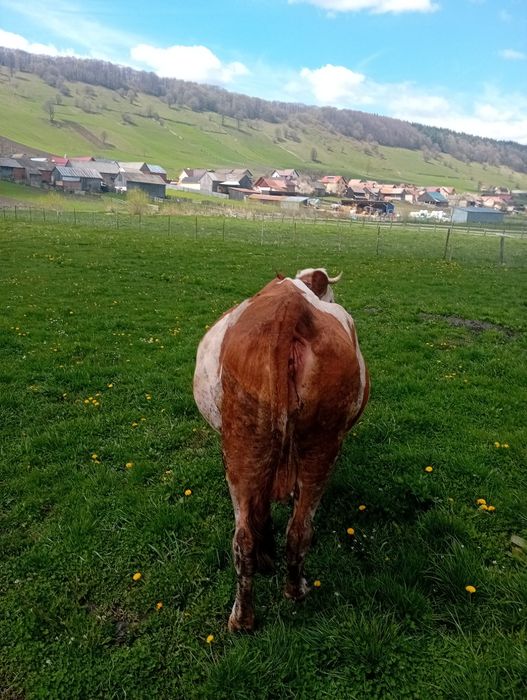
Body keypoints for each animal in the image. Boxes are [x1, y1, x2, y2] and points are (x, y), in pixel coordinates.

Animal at [193, 267, 369, 631]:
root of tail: (289, 311)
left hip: (246, 446)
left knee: (250, 534)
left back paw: (247, 615)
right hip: (317, 442)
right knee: (292, 529)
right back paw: (284, 594)